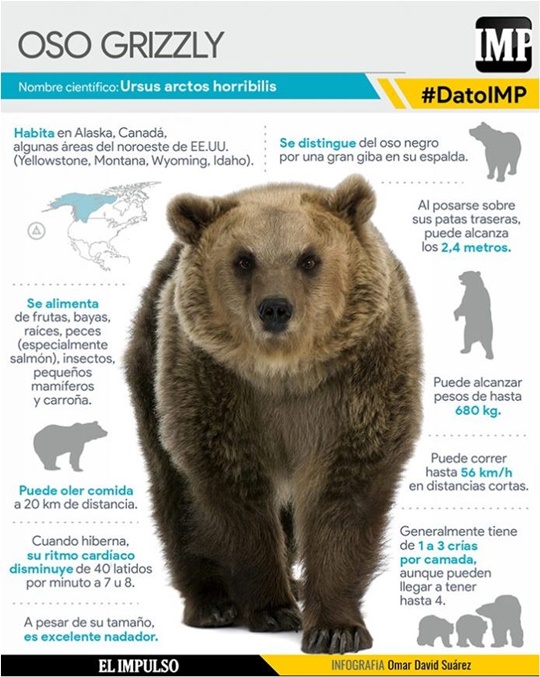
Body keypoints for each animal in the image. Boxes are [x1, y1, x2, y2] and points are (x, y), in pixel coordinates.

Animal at [125, 175, 422, 654]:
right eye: (244, 259)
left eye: (309, 258)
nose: (276, 308)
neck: (285, 374)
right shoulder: (214, 385)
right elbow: (233, 494)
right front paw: (271, 607)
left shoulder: (358, 385)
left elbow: (344, 496)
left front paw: (335, 628)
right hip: (149, 364)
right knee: (174, 492)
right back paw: (212, 603)